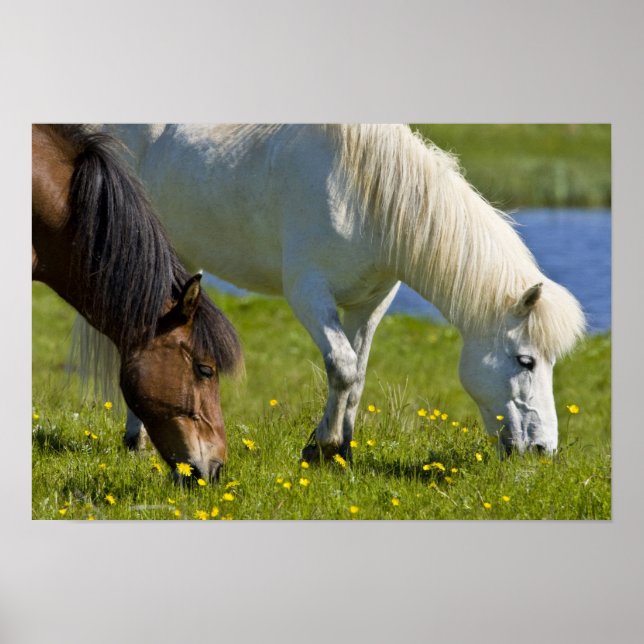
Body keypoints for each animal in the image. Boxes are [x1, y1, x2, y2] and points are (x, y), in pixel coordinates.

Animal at [101, 124, 585, 460]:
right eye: (526, 361)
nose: (543, 450)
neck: (365, 197)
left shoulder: (369, 305)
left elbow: (358, 375)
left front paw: (341, 450)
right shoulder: (308, 293)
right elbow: (343, 367)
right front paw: (325, 445)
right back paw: (136, 439)